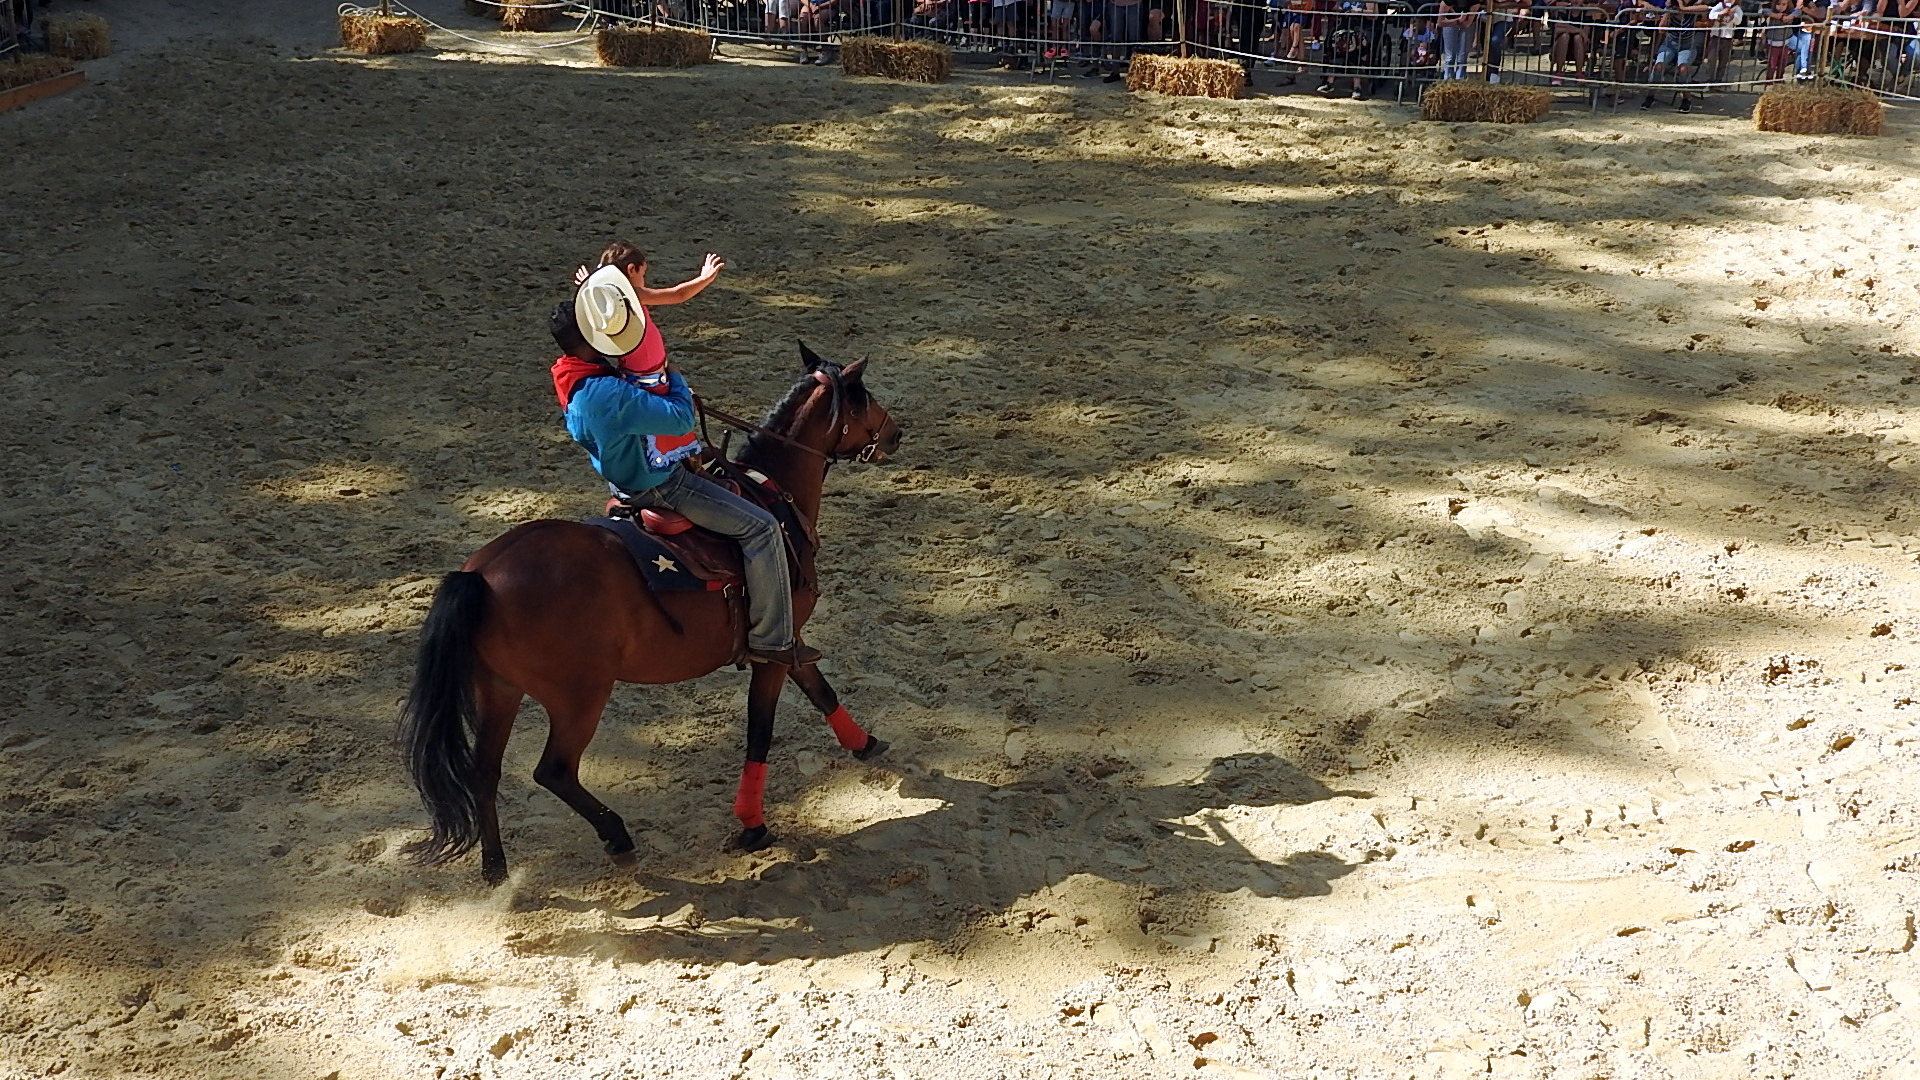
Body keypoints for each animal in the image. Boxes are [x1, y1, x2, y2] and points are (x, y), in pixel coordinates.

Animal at [398, 344, 903, 885]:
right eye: (863, 396)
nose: (896, 432)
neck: (773, 496)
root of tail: (481, 575)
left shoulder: (790, 640)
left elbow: (821, 690)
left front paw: (866, 742)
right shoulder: (772, 649)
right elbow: (760, 733)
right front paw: (752, 825)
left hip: (498, 691)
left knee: (484, 772)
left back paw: (495, 866)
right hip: (579, 698)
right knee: (553, 770)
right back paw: (617, 838)